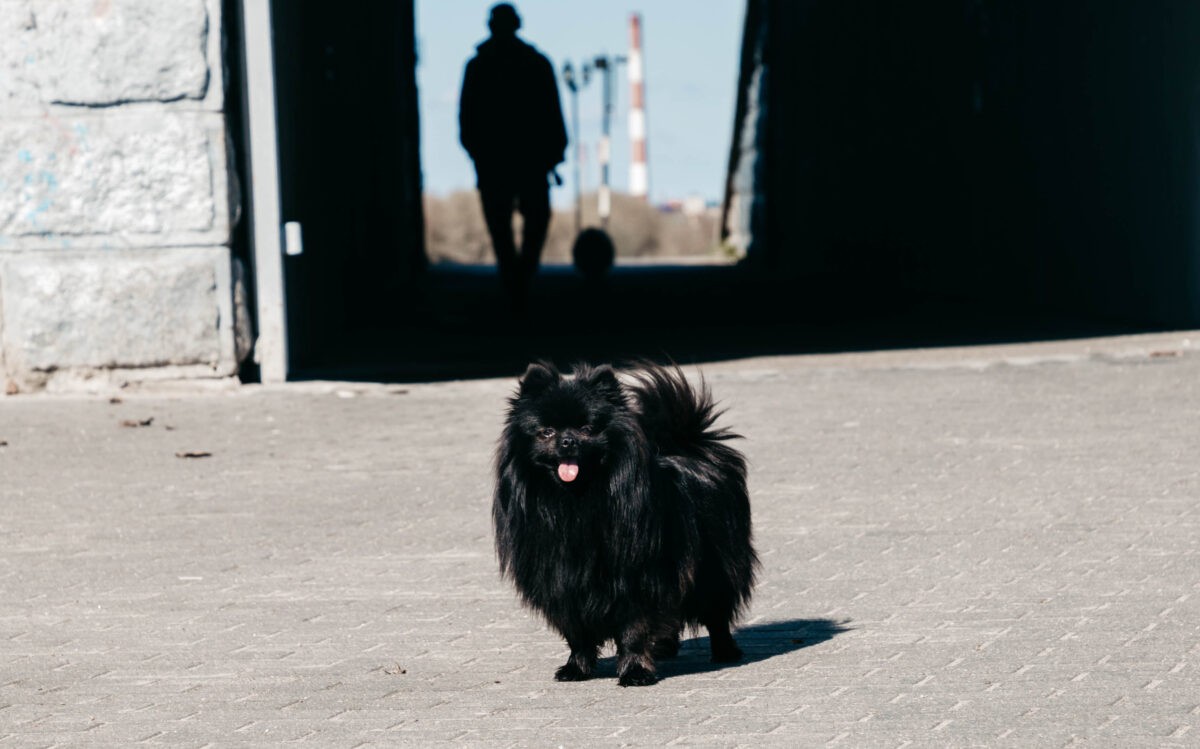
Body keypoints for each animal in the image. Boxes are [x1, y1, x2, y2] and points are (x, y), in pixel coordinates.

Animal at [489, 362, 753, 686]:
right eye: (546, 431)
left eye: (587, 429)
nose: (567, 441)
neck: (575, 501)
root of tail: (690, 448)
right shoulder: (563, 584)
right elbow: (577, 634)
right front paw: (576, 668)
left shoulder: (637, 578)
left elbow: (633, 631)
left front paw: (635, 670)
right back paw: (664, 647)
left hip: (714, 571)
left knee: (717, 613)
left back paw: (725, 650)